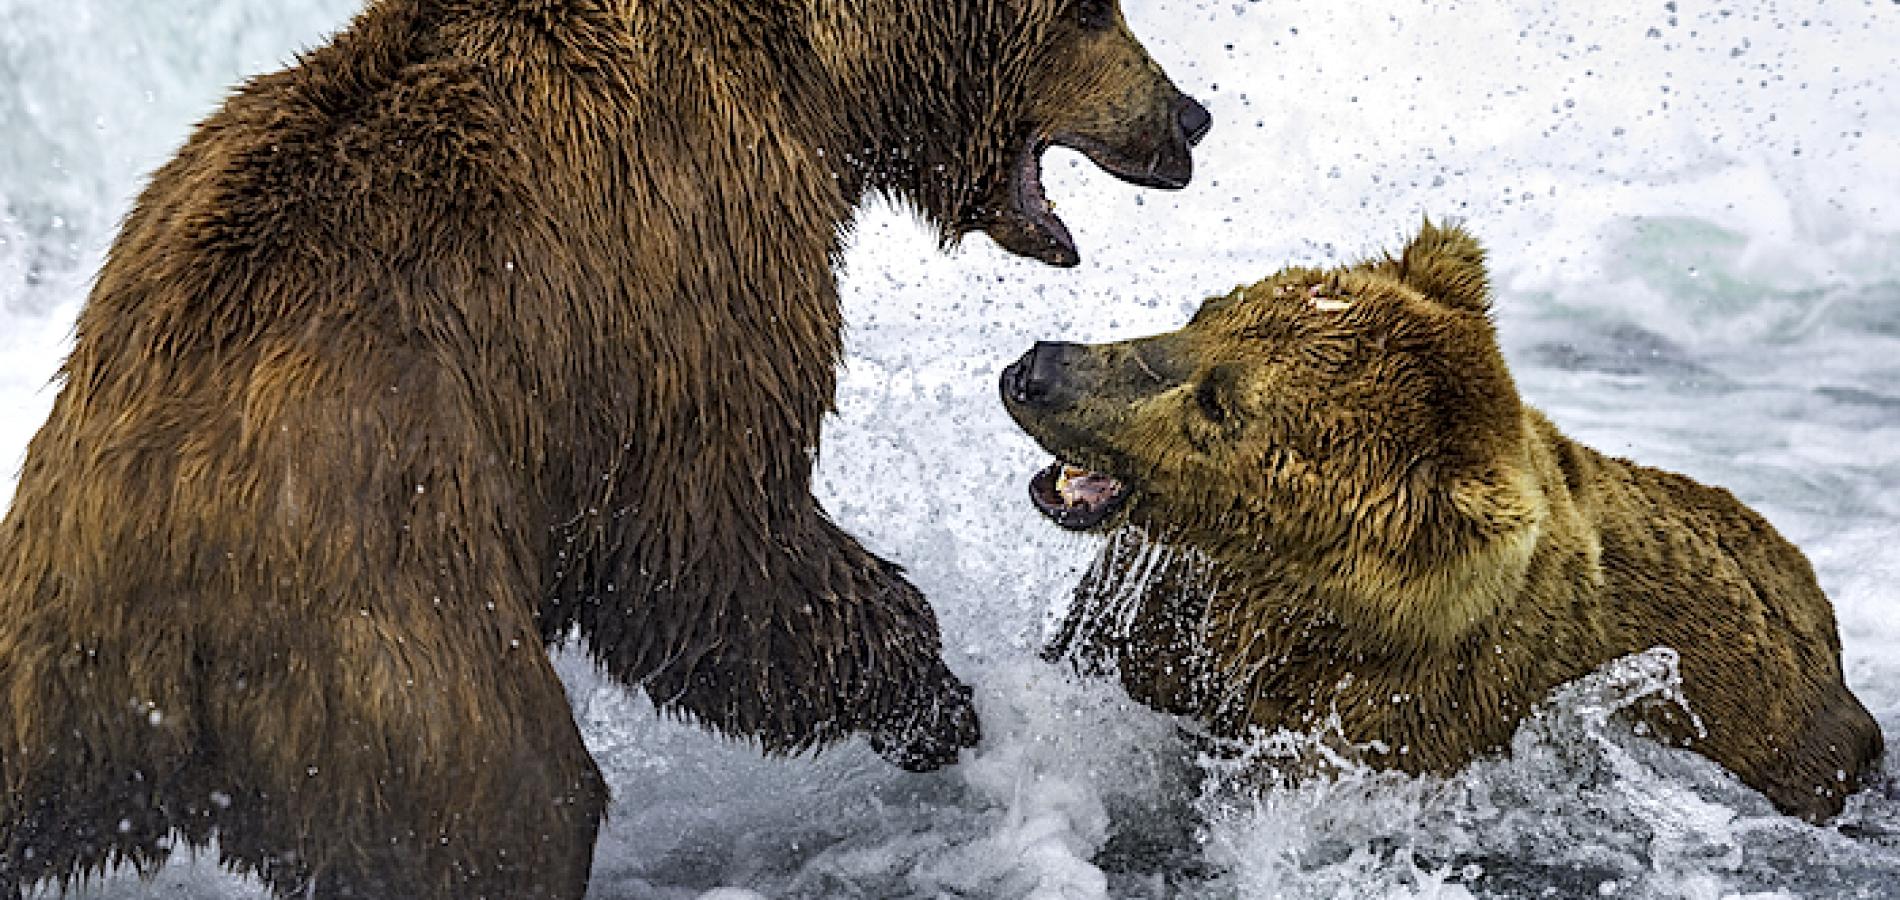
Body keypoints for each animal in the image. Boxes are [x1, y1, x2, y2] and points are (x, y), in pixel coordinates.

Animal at [0, 1, 1208, 900]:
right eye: (1092, 10)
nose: (1190, 116)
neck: (815, 83)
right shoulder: (694, 257)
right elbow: (705, 539)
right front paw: (931, 692)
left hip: (43, 694)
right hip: (387, 640)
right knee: (511, 812)